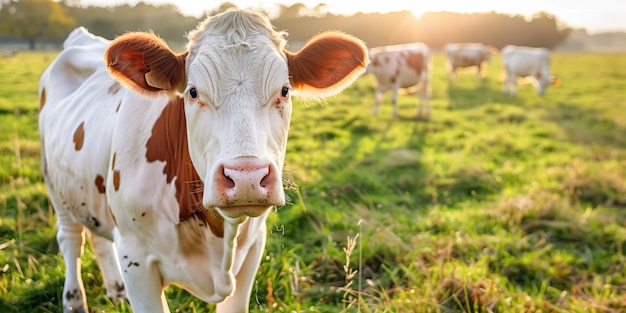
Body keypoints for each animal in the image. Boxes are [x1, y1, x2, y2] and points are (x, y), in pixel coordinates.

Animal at [36, 9, 366, 312]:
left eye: (284, 90)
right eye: (193, 92)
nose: (246, 178)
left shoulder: (252, 250)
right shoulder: (135, 258)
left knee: (98, 237)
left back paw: (116, 291)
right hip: (54, 185)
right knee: (71, 241)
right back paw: (74, 301)